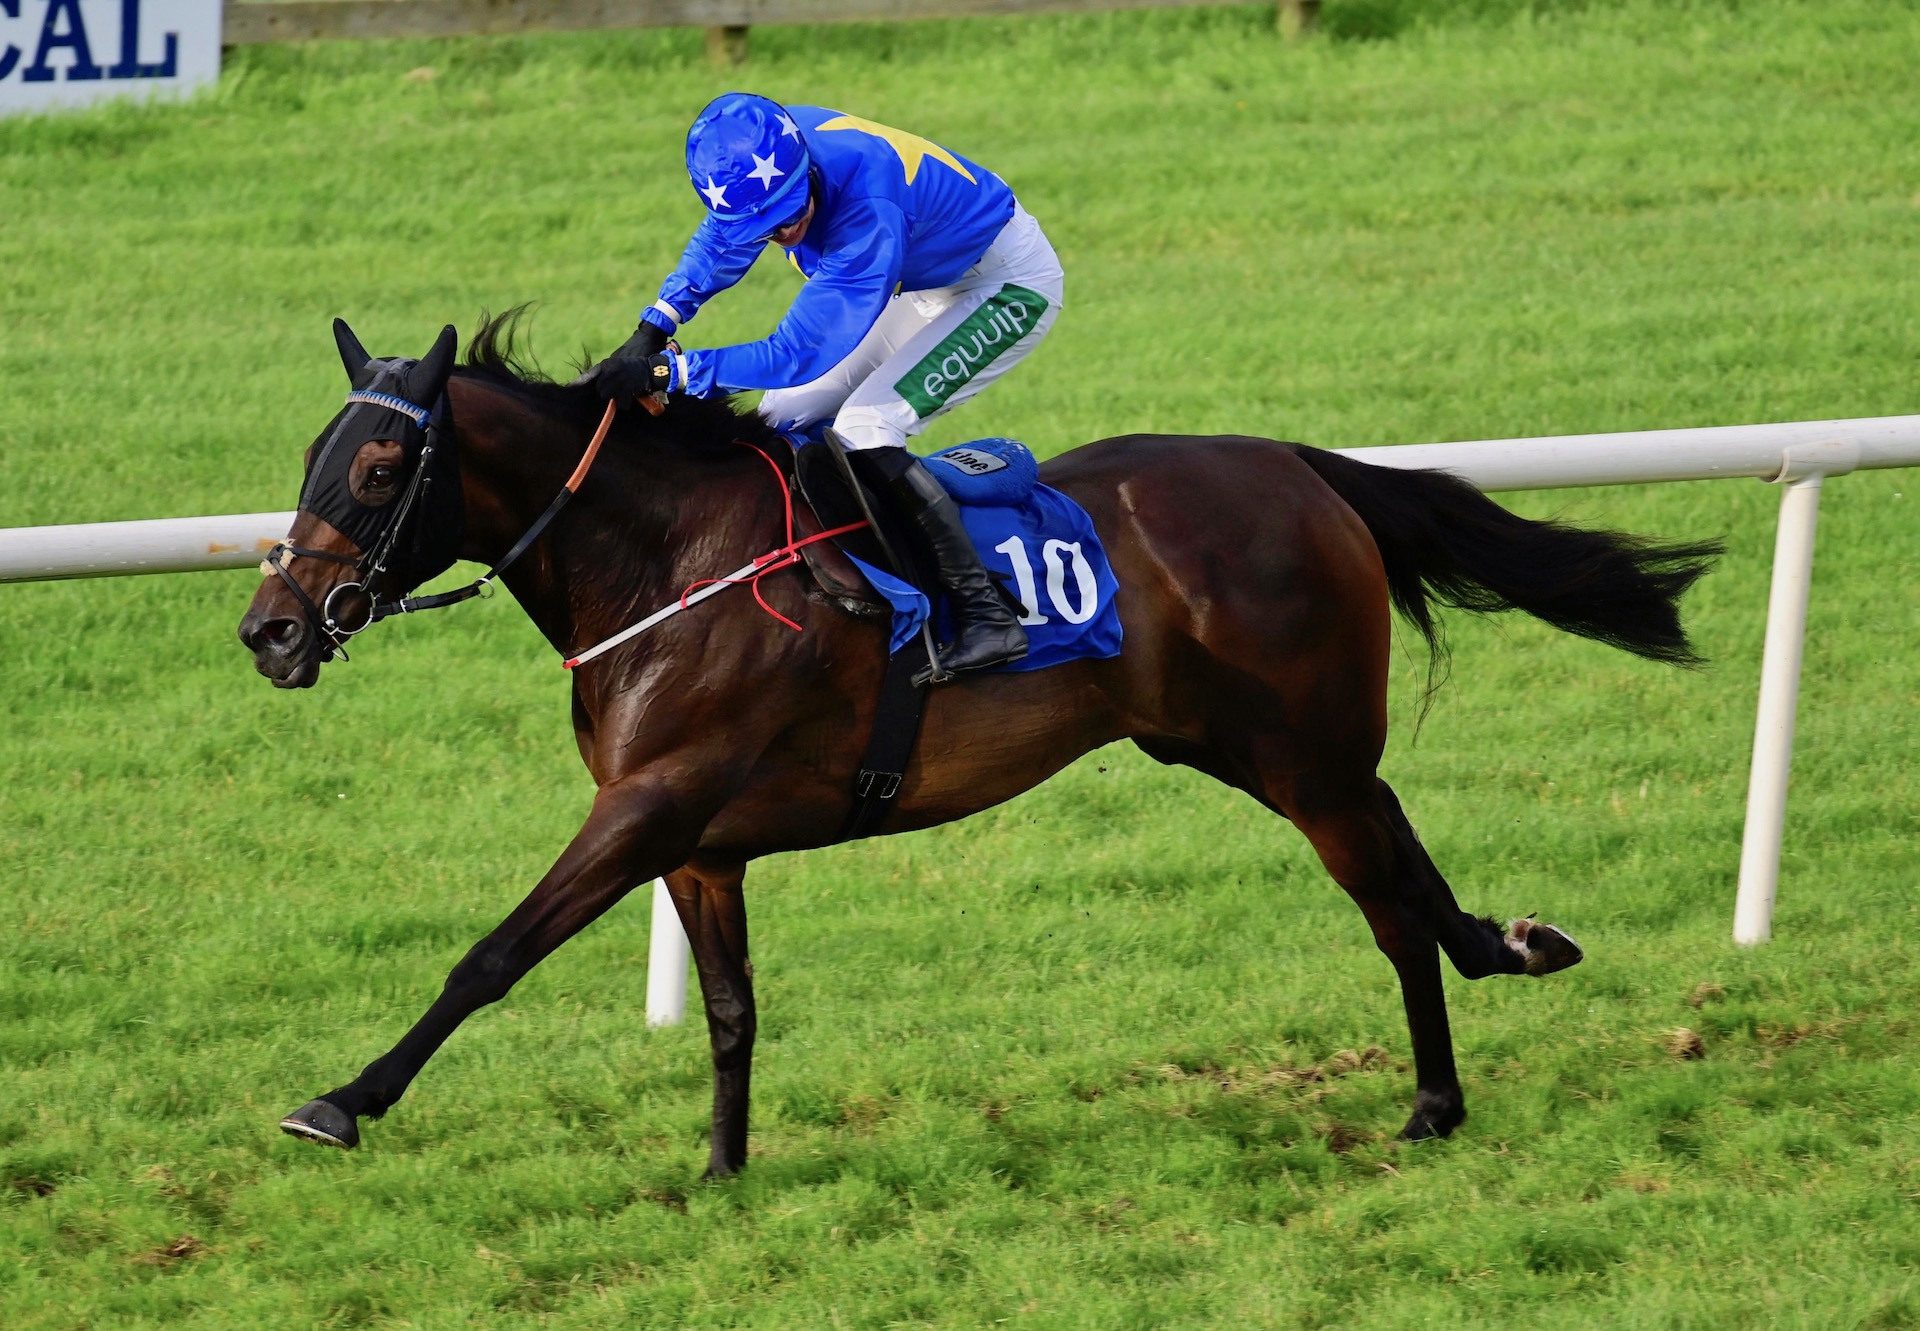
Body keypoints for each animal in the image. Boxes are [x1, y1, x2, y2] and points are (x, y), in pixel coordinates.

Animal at [240, 318, 1728, 1175]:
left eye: (381, 469)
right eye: (311, 452)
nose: (271, 628)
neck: (667, 562)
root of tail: (1300, 464)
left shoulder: (651, 803)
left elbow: (491, 953)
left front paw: (340, 1099)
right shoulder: (698, 841)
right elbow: (730, 1009)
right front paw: (722, 1172)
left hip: (1296, 754)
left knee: (1385, 902)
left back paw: (1431, 1100)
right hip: (1245, 741)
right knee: (1404, 844)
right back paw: (1513, 946)